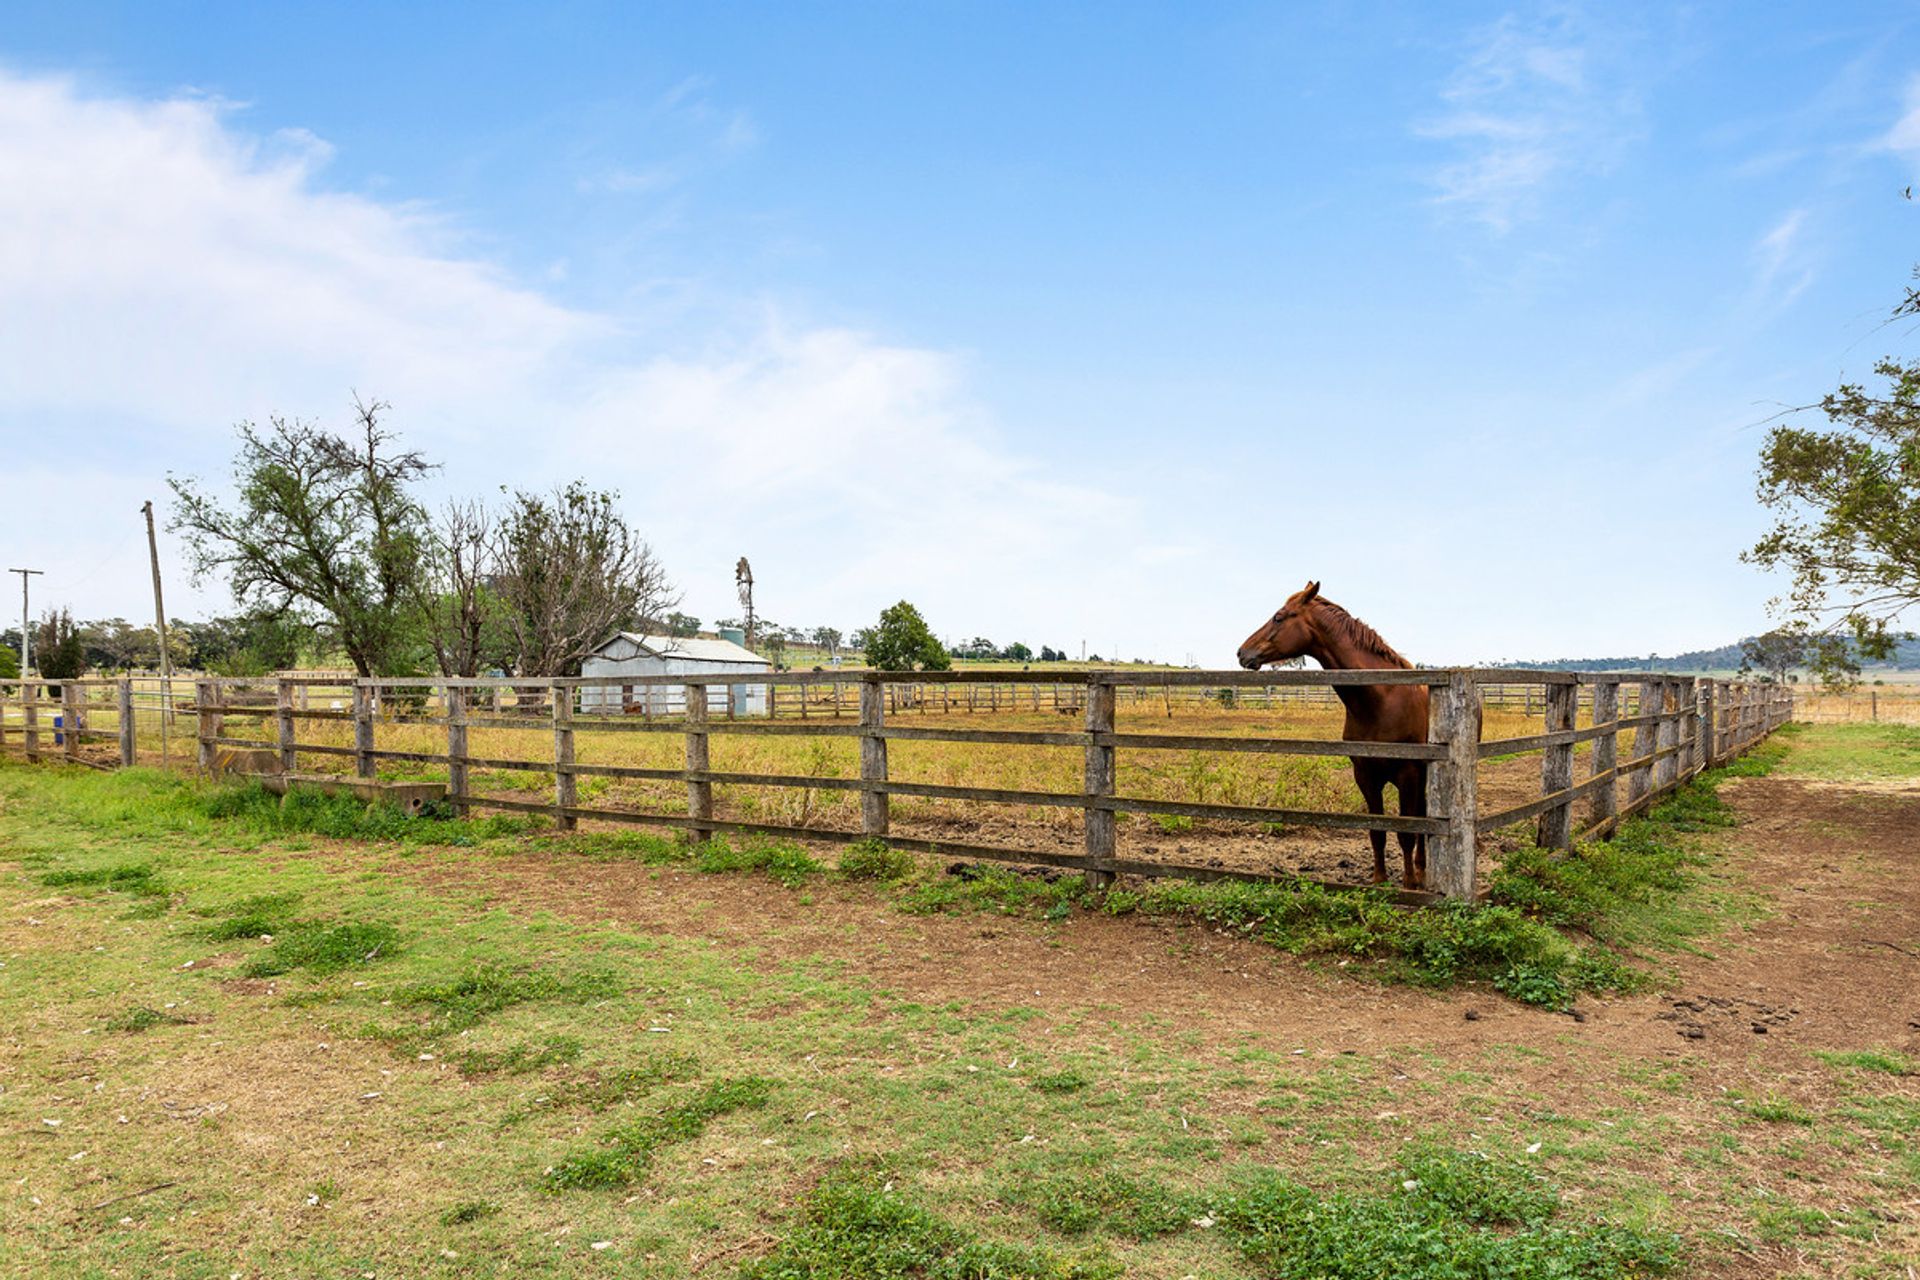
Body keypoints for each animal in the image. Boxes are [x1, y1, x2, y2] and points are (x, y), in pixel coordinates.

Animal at [1236, 582, 1430, 889]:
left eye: (1279, 617)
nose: (1242, 652)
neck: (1382, 699)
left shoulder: (1407, 774)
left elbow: (1406, 832)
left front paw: (1409, 884)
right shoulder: (1364, 775)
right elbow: (1377, 831)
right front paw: (1379, 879)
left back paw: (1421, 873)